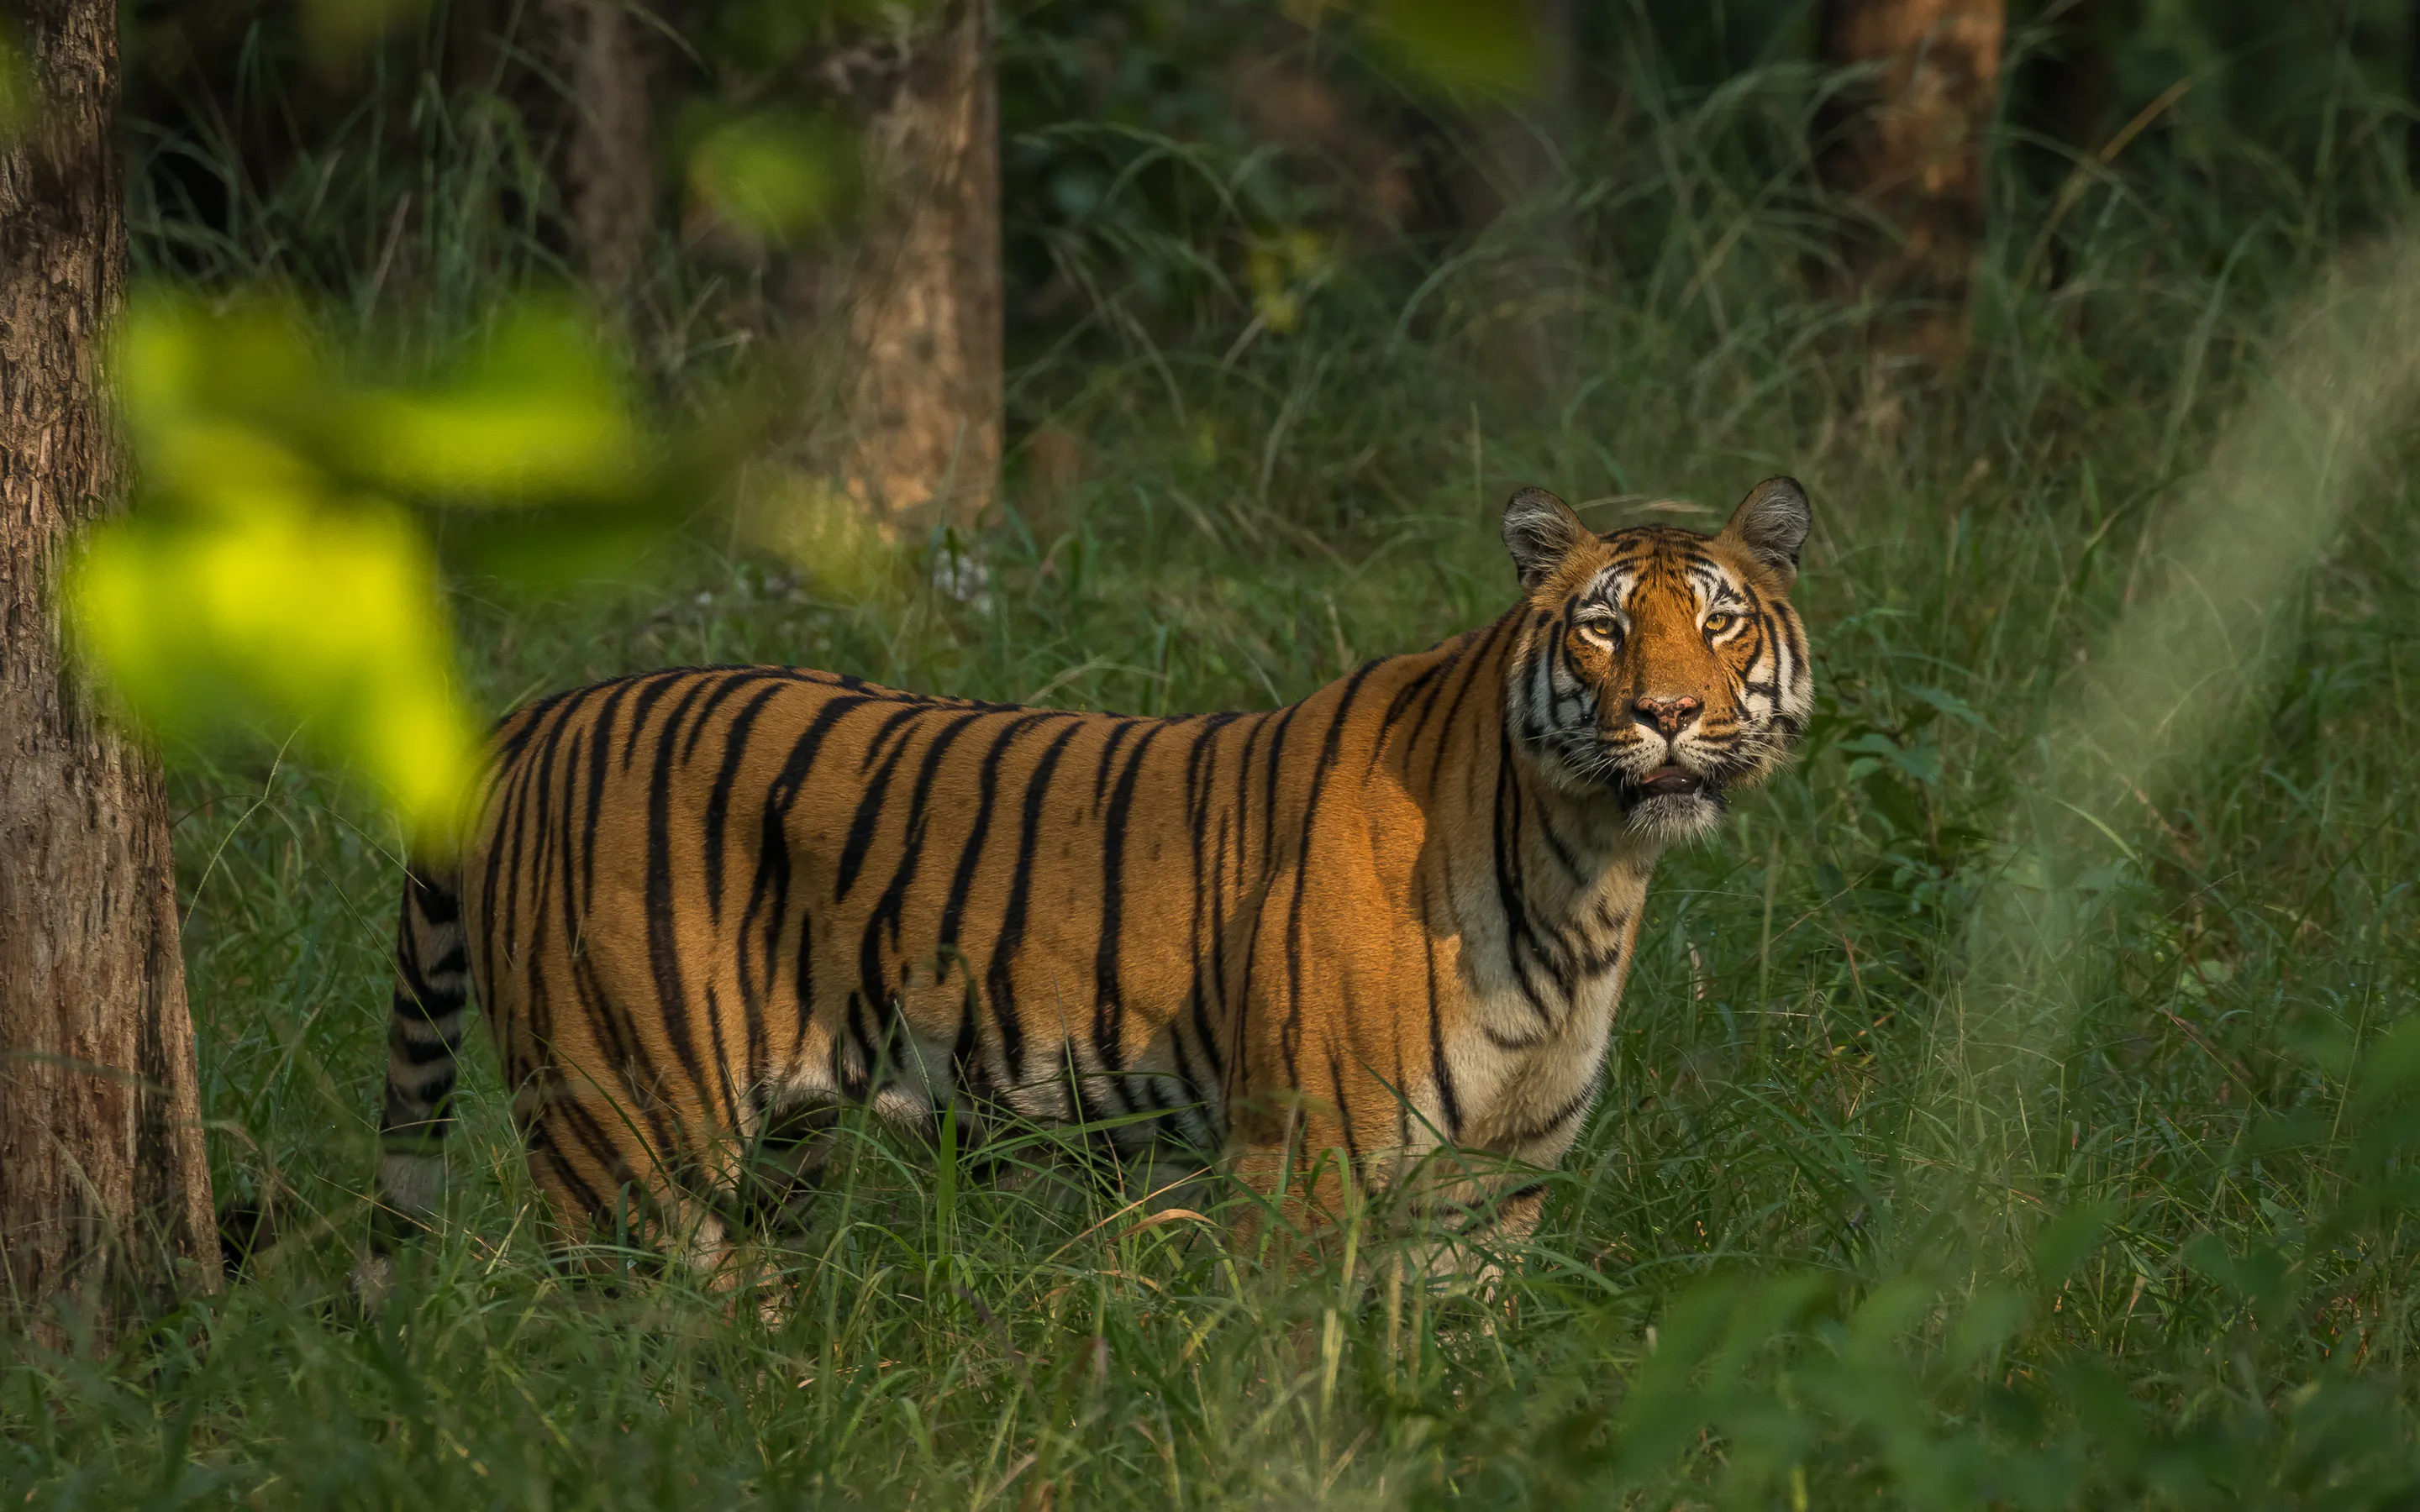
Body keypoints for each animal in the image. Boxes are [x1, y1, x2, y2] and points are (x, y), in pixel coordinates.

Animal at [373, 478, 1813, 1276]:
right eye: (1605, 626)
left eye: (1721, 620)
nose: (1672, 715)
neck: (1587, 873)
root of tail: (540, 713)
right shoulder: (1308, 1160)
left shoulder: (1493, 1186)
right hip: (625, 1141)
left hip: (772, 1158)